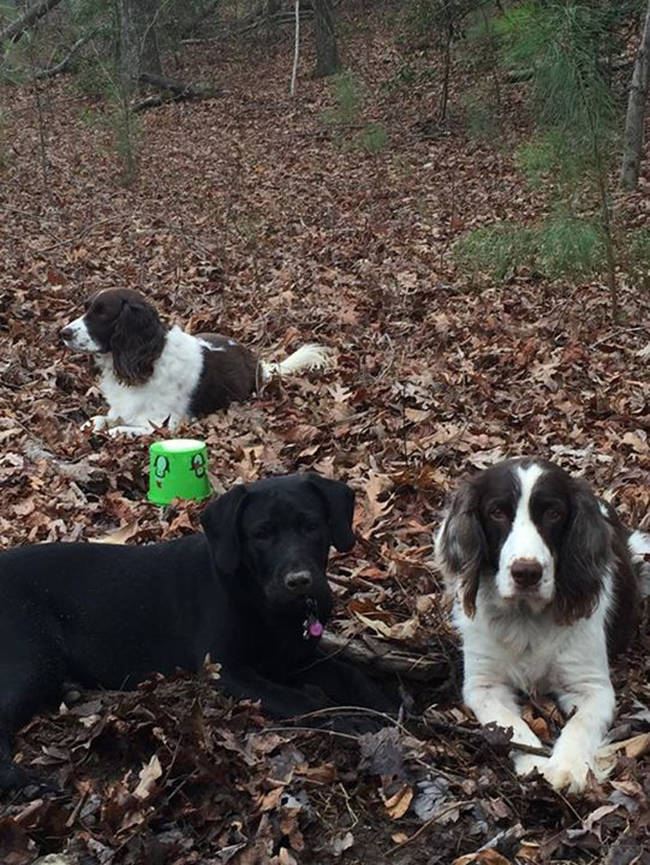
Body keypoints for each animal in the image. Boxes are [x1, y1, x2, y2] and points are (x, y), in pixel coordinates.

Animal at [0, 472, 394, 796]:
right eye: (261, 534)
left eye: (311, 525)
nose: (299, 582)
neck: (262, 600)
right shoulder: (226, 671)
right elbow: (301, 700)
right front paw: (351, 721)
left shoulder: (295, 659)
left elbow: (351, 673)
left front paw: (387, 704)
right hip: (33, 659)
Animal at [58, 290, 332, 436]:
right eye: (86, 308)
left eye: (102, 313)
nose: (63, 332)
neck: (150, 360)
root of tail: (257, 364)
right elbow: (97, 420)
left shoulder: (164, 424)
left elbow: (120, 430)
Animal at [436, 456, 648, 792]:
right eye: (497, 512)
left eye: (553, 513)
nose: (526, 573)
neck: (527, 618)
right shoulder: (483, 685)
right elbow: (510, 724)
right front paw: (533, 763)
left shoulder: (592, 687)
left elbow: (579, 725)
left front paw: (567, 767)